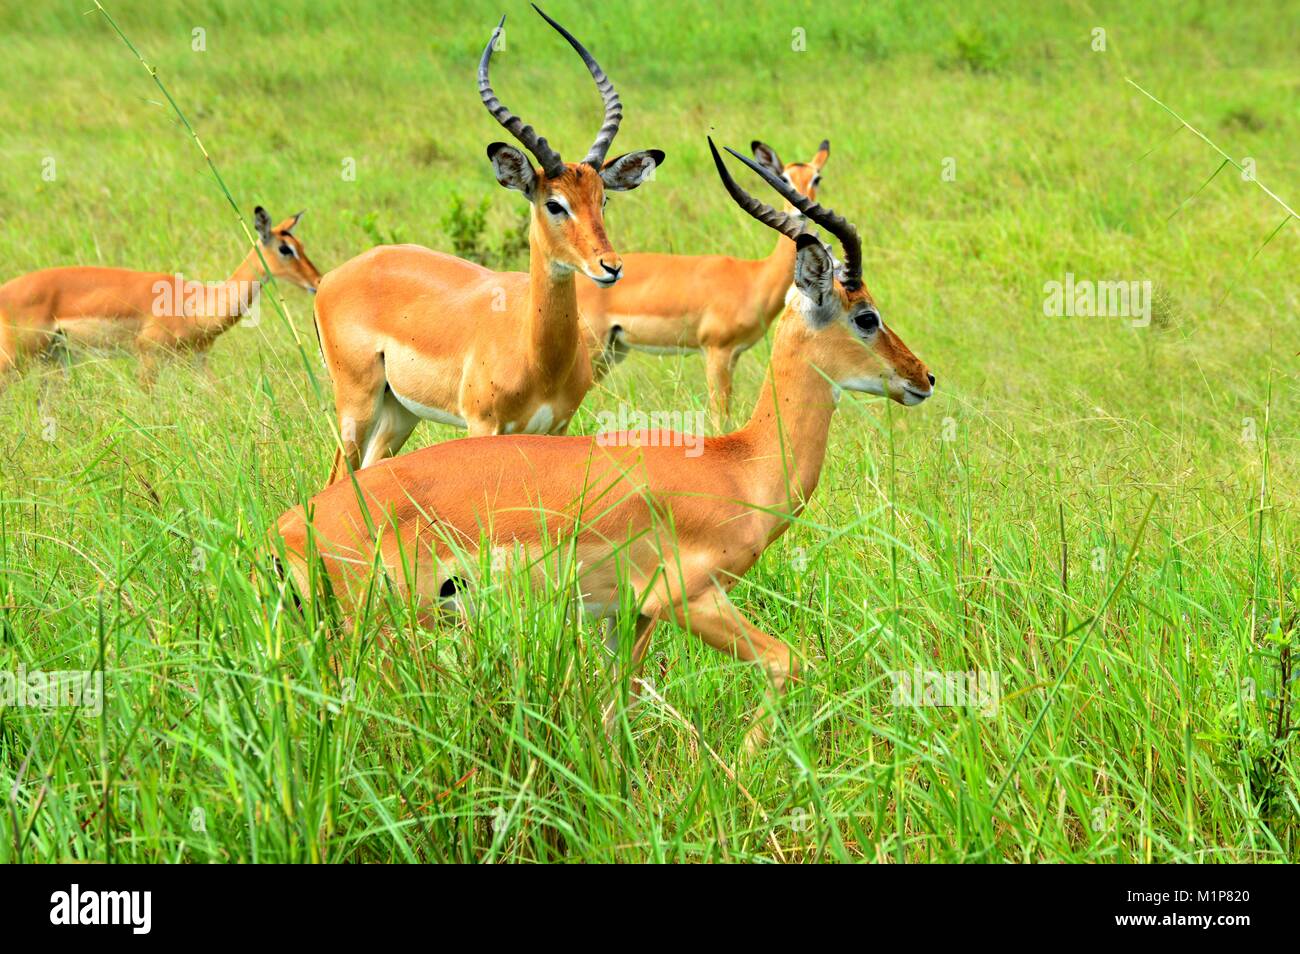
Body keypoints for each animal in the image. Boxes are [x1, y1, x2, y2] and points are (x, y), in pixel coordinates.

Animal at [0, 209, 321, 389]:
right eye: (285, 249)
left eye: (302, 245)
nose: (317, 281)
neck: (195, 305)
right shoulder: (148, 358)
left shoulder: (198, 361)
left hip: (54, 359)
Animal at [313, 5, 660, 486]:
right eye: (555, 203)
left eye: (602, 199)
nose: (610, 266)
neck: (536, 355)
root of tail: (333, 277)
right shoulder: (482, 425)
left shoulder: (556, 429)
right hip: (356, 403)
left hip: (398, 411)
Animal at [582, 140, 832, 428]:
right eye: (784, 178)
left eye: (816, 178)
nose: (800, 210)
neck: (754, 277)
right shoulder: (716, 352)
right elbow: (719, 418)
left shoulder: (733, 355)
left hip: (612, 352)